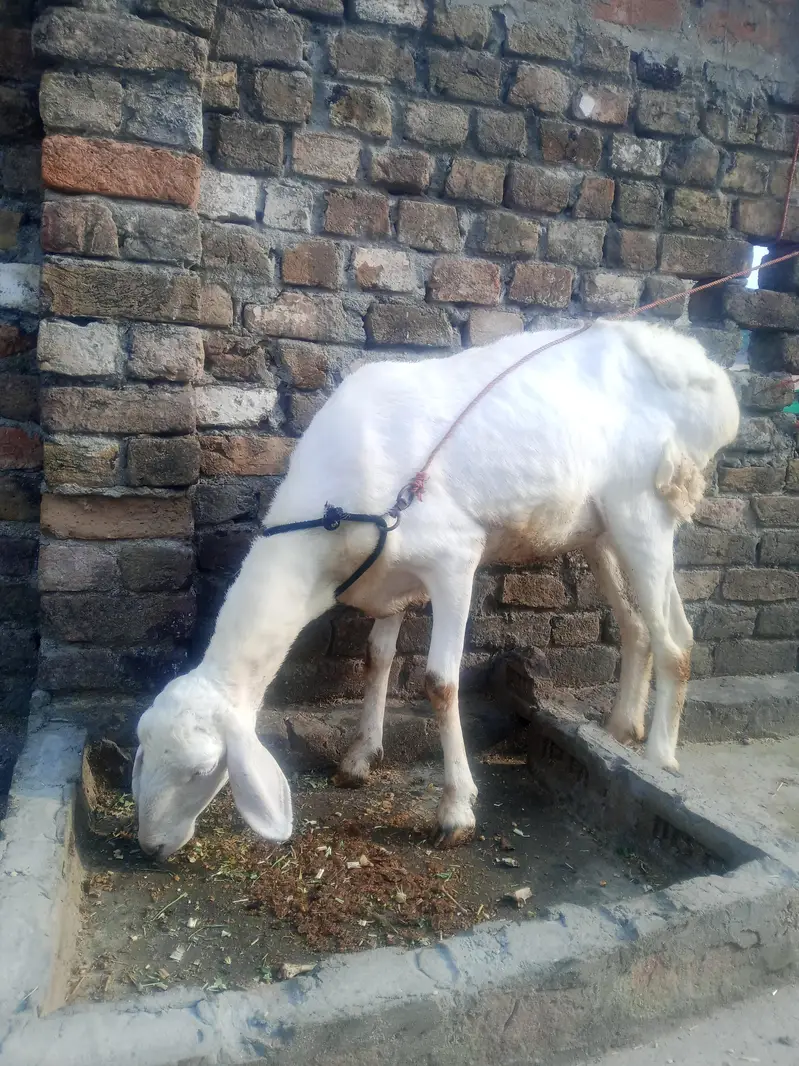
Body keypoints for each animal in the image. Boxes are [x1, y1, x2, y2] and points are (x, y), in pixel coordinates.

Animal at [133, 320, 739, 858]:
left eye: (200, 770)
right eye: (141, 750)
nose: (150, 846)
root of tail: (707, 377)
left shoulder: (454, 556)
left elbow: (440, 683)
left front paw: (456, 811)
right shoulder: (387, 576)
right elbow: (376, 657)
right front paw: (359, 758)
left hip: (645, 508)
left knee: (675, 639)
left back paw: (659, 758)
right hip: (600, 529)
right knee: (640, 626)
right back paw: (621, 727)